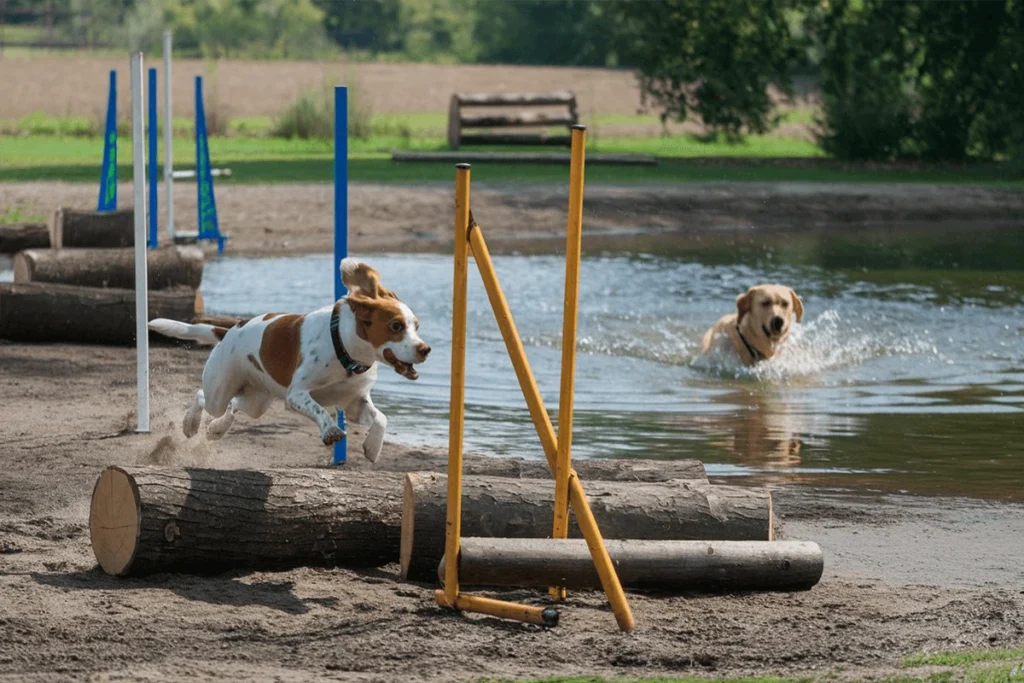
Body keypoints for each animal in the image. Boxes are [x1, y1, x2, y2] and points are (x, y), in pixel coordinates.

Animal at [148, 259, 428, 462]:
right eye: (396, 326)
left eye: (416, 326)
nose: (425, 349)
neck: (345, 350)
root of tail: (229, 331)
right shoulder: (296, 394)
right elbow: (319, 410)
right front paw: (330, 431)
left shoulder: (354, 404)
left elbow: (382, 418)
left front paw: (372, 447)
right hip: (220, 390)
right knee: (201, 396)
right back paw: (191, 424)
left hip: (256, 402)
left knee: (234, 407)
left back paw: (217, 429)